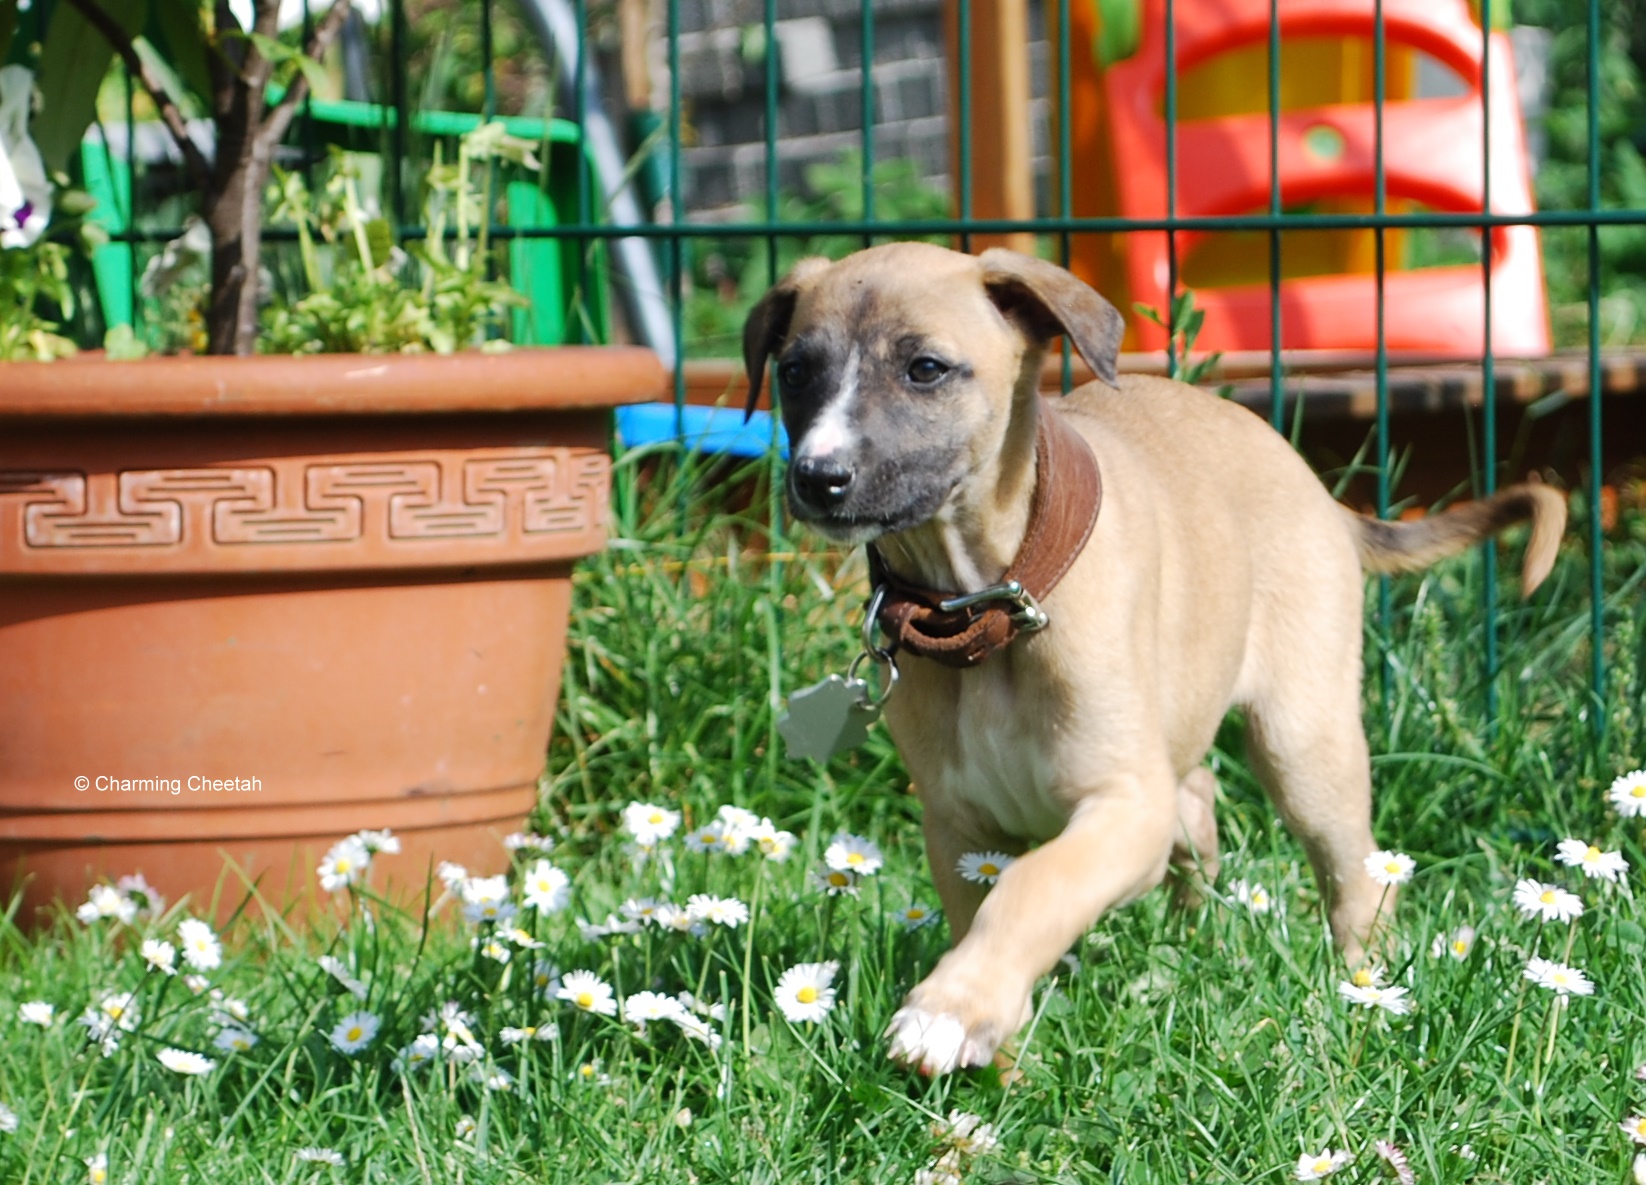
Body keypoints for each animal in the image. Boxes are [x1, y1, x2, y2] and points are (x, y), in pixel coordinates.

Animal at [740, 240, 1560, 1073]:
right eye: (795, 371)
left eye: (926, 368)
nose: (819, 476)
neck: (989, 604)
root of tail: (1320, 491)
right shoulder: (960, 828)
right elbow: (988, 911)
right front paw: (1002, 1061)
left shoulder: (1123, 805)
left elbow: (1035, 887)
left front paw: (951, 1011)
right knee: (1196, 802)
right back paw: (1188, 942)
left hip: (1304, 739)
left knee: (1354, 870)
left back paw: (1362, 988)